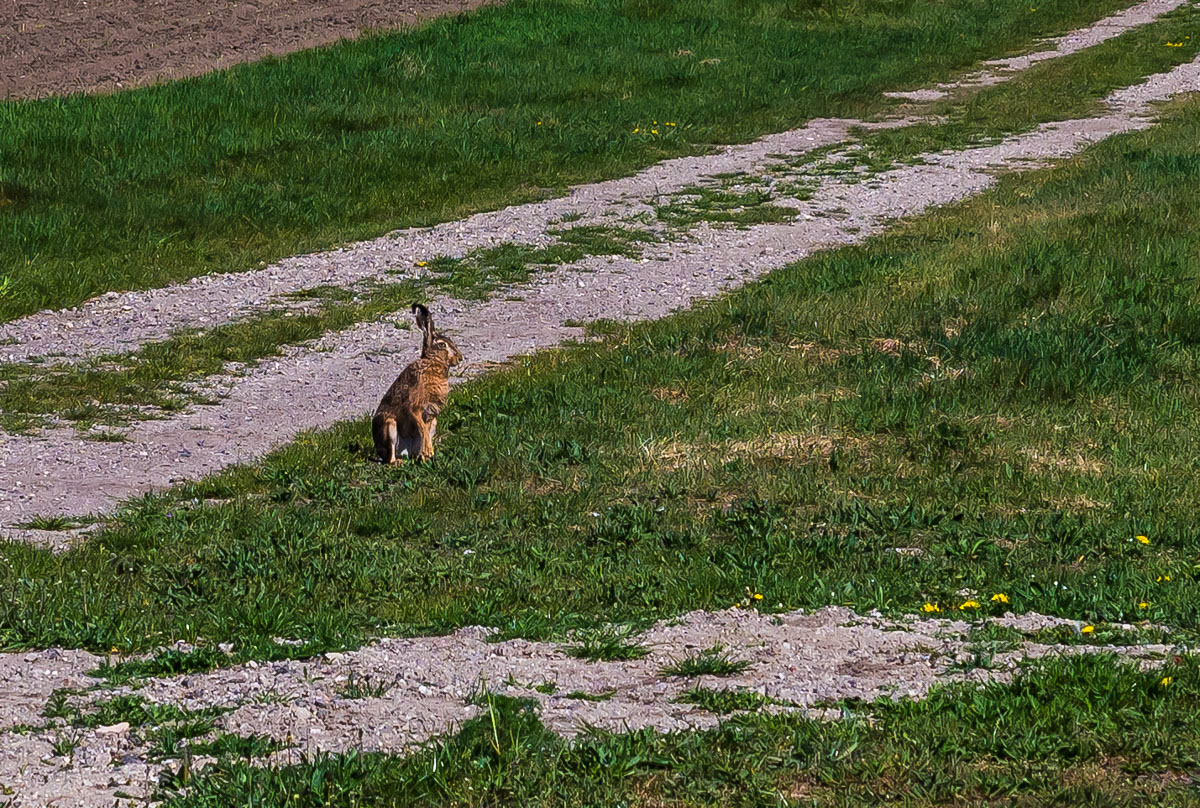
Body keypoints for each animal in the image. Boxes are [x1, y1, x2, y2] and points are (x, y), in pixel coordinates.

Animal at [372, 303, 463, 464]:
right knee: (390, 458)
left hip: (433, 424)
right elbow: (422, 429)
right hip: (389, 426)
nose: (460, 358)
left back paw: (420, 457)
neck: (432, 363)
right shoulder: (414, 408)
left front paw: (428, 453)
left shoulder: (431, 414)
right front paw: (429, 452)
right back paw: (399, 462)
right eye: (442, 345)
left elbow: (425, 431)